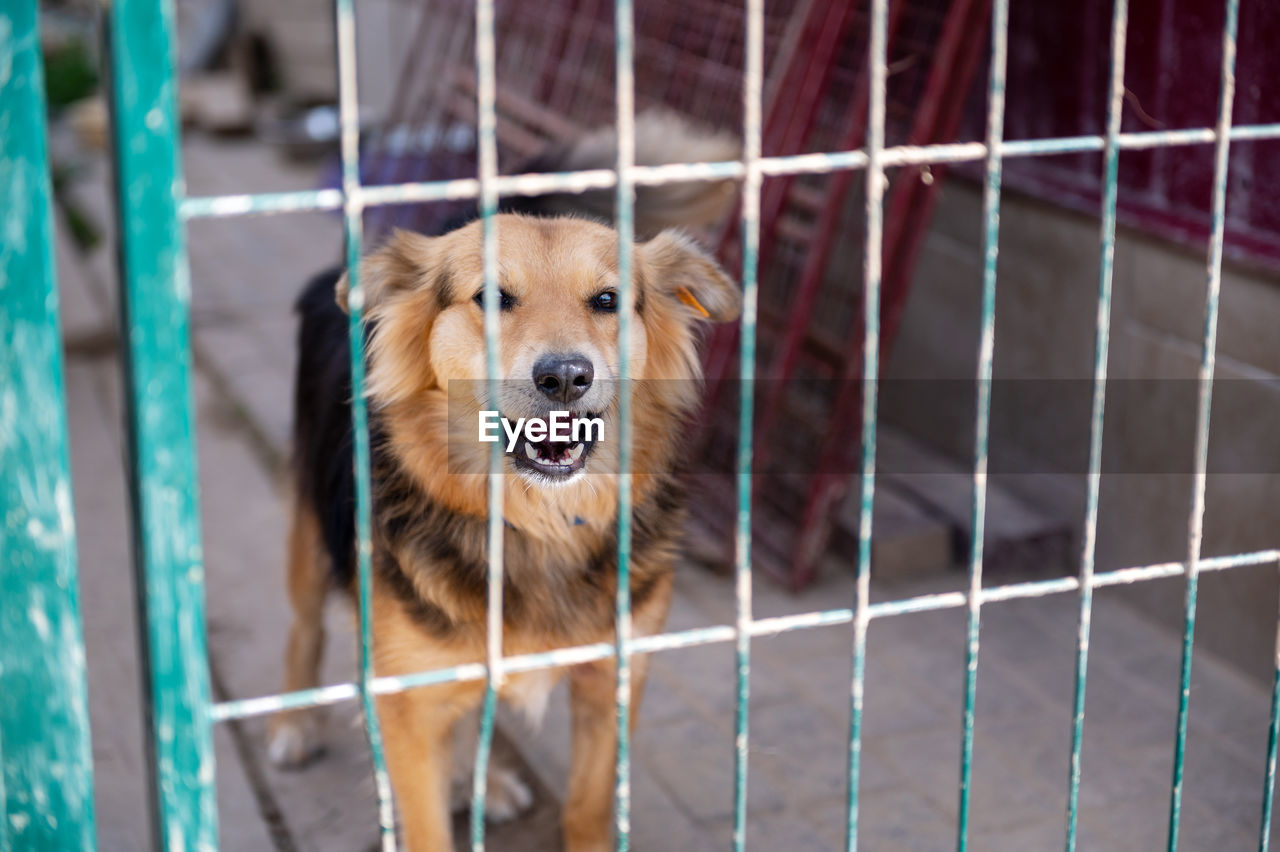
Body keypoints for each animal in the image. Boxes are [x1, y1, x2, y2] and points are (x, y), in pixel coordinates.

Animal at [272, 116, 742, 844]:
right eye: (491, 299)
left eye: (607, 301)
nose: (566, 377)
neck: (535, 522)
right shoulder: (409, 708)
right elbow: (427, 827)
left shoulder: (612, 678)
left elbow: (586, 809)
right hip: (310, 526)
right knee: (303, 625)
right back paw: (295, 726)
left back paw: (484, 780)